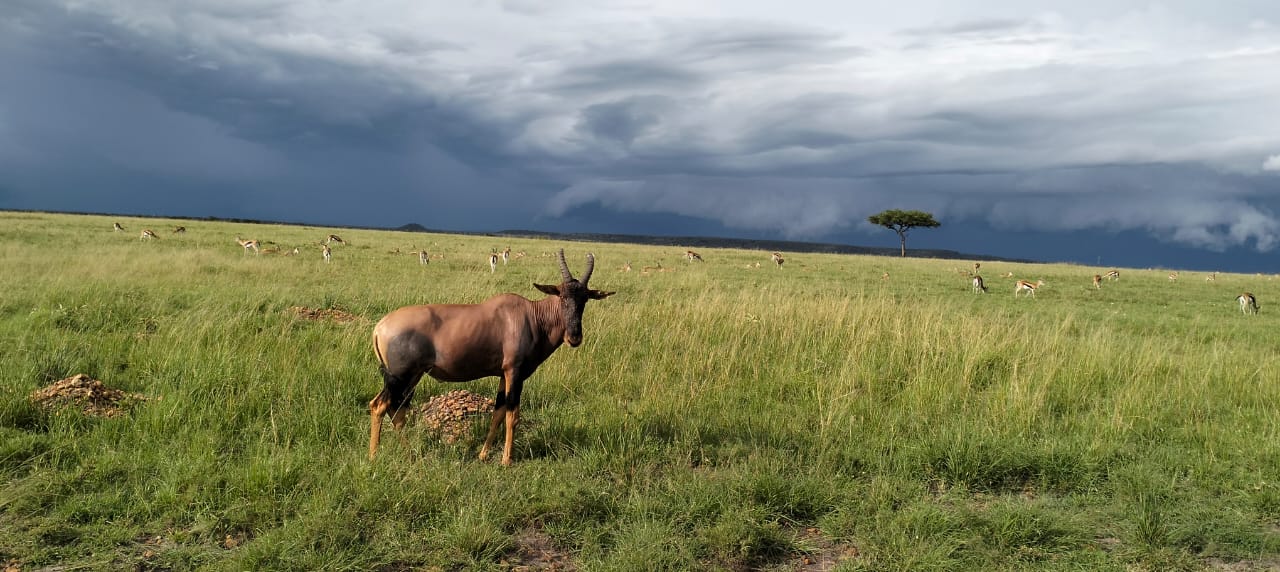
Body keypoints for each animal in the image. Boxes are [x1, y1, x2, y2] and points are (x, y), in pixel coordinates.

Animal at [371, 250, 614, 465]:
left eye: (585, 299)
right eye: (561, 296)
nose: (574, 337)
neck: (530, 316)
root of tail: (380, 327)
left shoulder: (502, 375)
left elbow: (497, 413)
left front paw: (483, 455)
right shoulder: (514, 372)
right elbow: (512, 415)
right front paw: (507, 460)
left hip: (412, 377)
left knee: (396, 411)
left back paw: (410, 456)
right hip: (400, 376)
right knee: (379, 406)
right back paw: (374, 457)